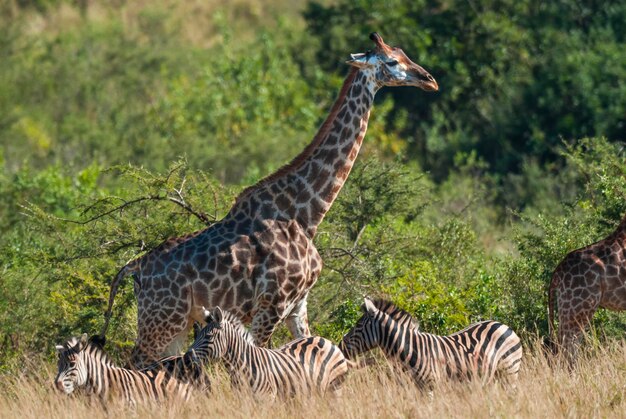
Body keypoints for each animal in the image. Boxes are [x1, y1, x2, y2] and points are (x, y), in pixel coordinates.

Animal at [100, 32, 436, 368]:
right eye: (391, 61)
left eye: (403, 52)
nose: (429, 80)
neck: (306, 214)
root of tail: (134, 268)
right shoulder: (271, 305)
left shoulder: (298, 306)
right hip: (161, 321)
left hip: (177, 324)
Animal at [185, 306, 352, 398]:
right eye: (197, 335)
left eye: (208, 336)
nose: (186, 357)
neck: (242, 367)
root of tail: (324, 339)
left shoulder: (267, 398)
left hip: (335, 387)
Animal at [338, 300, 520, 388]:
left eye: (358, 326)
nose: (340, 346)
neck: (411, 349)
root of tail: (503, 325)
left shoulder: (431, 385)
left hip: (509, 371)